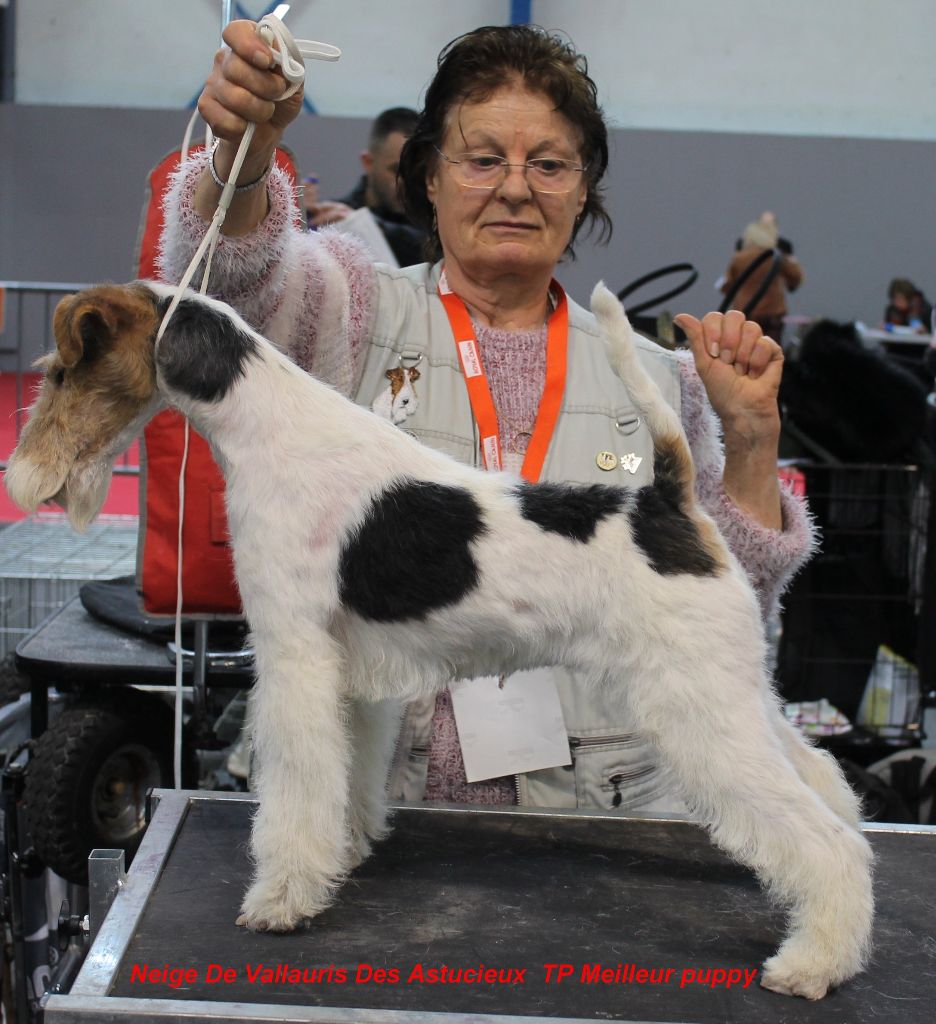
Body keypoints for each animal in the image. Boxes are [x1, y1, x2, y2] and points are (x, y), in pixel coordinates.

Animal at [5, 280, 868, 999]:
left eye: (61, 372)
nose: (23, 480)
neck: (268, 428)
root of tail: (672, 504)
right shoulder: (349, 670)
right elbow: (348, 773)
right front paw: (347, 849)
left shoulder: (293, 655)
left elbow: (295, 785)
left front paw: (282, 898)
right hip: (734, 691)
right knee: (823, 780)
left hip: (697, 701)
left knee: (824, 839)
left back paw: (812, 962)